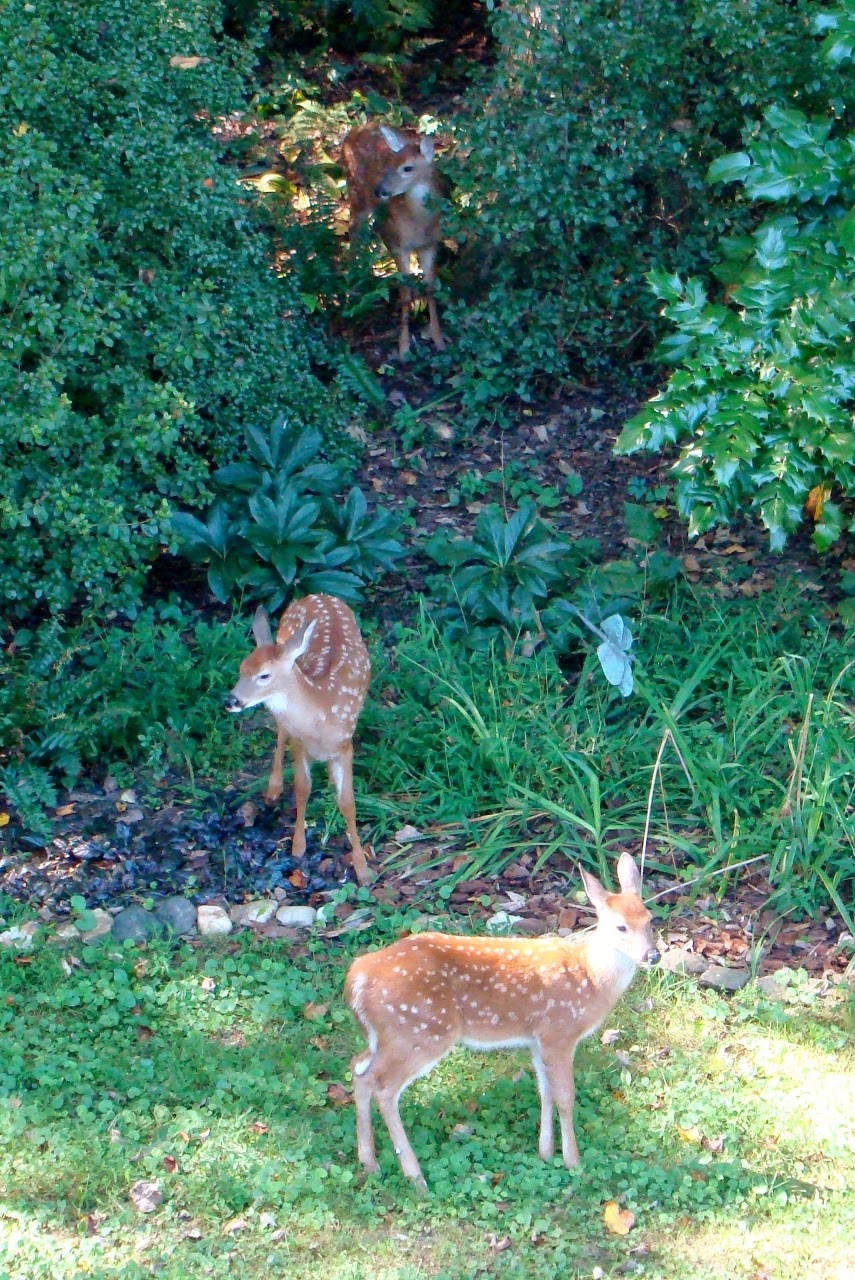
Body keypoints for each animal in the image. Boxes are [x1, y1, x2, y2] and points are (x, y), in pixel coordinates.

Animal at [225, 594, 373, 886]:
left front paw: (363, 870)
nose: (231, 701)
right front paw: (298, 847)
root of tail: (317, 595)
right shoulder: (299, 743)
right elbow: (302, 789)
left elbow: (348, 803)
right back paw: (273, 790)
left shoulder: (345, 745)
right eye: (241, 668)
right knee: (280, 729)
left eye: (264, 675)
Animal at [340, 122, 445, 358]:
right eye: (390, 164)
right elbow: (405, 291)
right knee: (353, 238)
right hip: (356, 197)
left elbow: (430, 287)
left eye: (408, 168)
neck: (418, 224)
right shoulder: (396, 243)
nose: (380, 190)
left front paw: (438, 338)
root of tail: (354, 130)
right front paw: (404, 347)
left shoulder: (431, 244)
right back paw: (352, 290)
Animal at [345, 852, 660, 1192]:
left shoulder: (536, 1040)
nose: (652, 956)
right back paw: (415, 1176)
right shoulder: (558, 1032)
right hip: (421, 1031)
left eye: (649, 919)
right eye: (620, 927)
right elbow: (565, 1096)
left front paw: (545, 1152)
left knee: (359, 1068)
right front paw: (573, 1162)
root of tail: (356, 978)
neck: (589, 977)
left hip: (387, 1036)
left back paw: (370, 1163)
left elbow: (545, 1090)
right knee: (384, 1088)